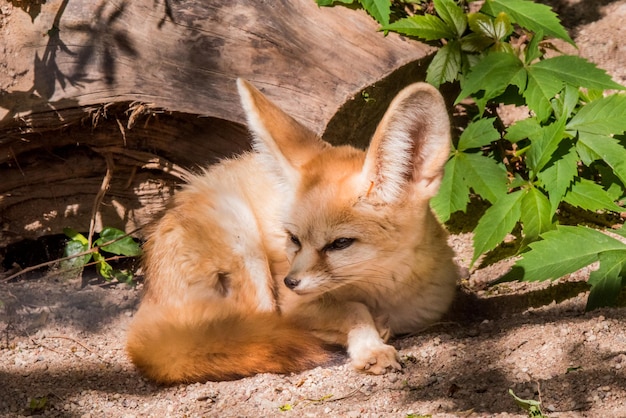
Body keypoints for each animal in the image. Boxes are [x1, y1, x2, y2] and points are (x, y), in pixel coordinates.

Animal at [127, 78, 458, 382]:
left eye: (340, 243)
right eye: (294, 239)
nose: (289, 281)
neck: (386, 294)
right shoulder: (293, 307)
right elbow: (353, 309)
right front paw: (370, 346)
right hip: (241, 234)